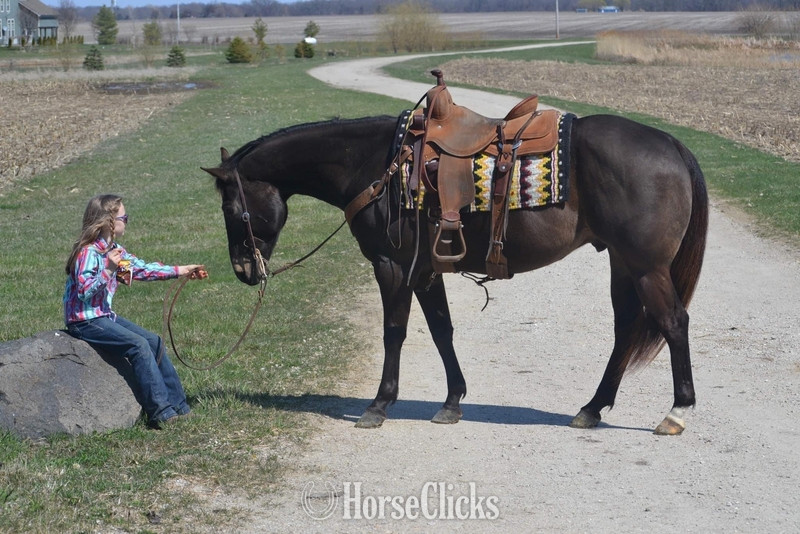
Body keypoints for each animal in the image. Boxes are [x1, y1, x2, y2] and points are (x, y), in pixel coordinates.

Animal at [202, 111, 708, 435]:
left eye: (229, 209)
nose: (243, 269)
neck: (377, 165)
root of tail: (671, 144)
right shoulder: (426, 270)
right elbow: (442, 330)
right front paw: (451, 402)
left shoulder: (392, 266)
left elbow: (394, 332)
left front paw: (379, 404)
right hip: (623, 264)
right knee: (626, 330)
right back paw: (592, 408)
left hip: (646, 267)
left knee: (673, 323)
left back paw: (677, 412)